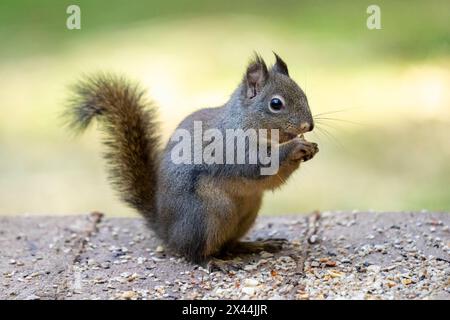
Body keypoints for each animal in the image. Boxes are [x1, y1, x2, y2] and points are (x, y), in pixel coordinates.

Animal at [65, 53, 318, 266]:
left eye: (304, 95)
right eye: (276, 104)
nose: (309, 126)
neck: (246, 121)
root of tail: (167, 232)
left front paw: (310, 148)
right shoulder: (232, 147)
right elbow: (258, 164)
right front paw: (296, 147)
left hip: (247, 211)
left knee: (229, 244)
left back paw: (256, 244)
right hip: (206, 216)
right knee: (194, 253)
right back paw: (214, 262)